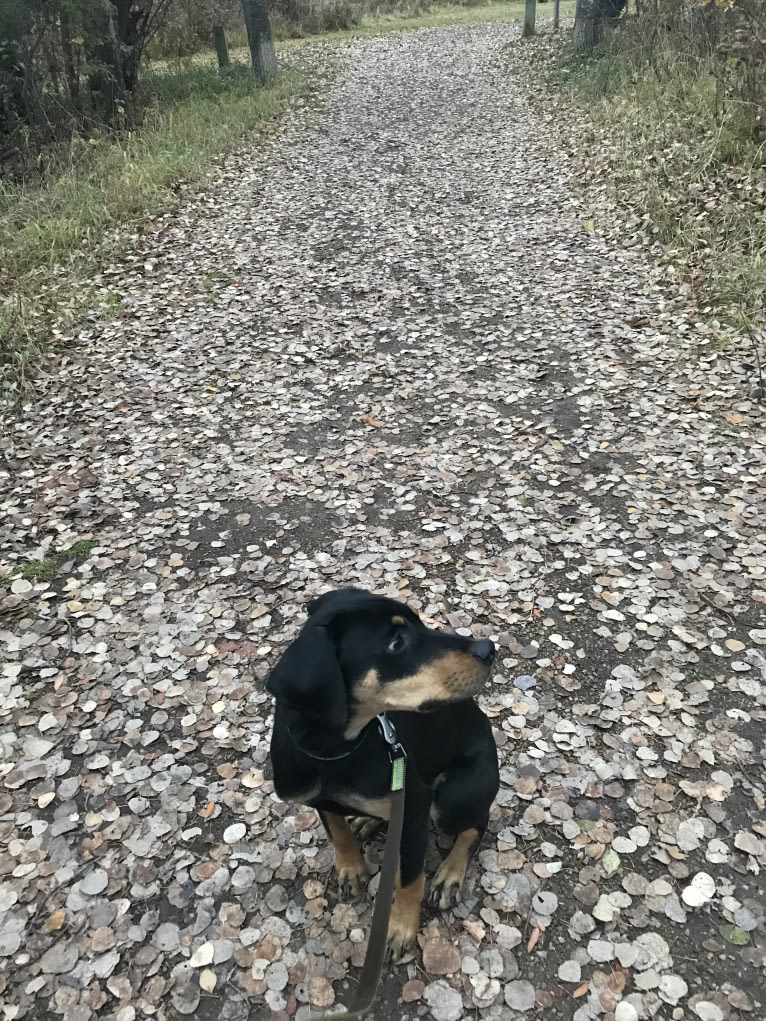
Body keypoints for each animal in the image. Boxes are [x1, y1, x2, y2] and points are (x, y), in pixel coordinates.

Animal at [267, 588, 500, 951]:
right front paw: (351, 868)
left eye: (419, 621)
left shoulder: (416, 811)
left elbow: (410, 879)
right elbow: (337, 832)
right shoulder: (318, 799)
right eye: (396, 643)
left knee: (477, 823)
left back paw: (450, 874)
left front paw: (401, 928)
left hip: (453, 799)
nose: (488, 648)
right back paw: (367, 821)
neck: (336, 752)